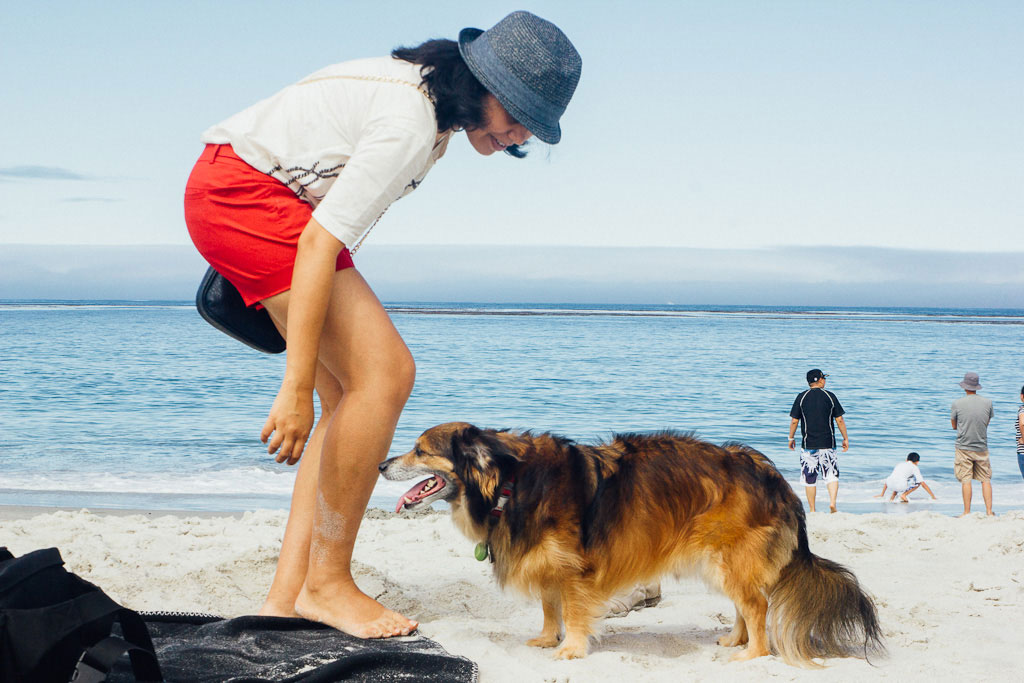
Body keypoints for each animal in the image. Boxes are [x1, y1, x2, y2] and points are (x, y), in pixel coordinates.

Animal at [380, 421, 884, 663]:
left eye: (420, 450)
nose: (382, 464)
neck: (509, 481)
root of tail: (772, 475)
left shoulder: (575, 569)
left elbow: (573, 612)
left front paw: (570, 650)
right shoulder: (547, 563)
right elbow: (548, 606)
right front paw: (545, 639)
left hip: (729, 558)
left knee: (758, 605)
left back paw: (753, 654)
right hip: (722, 561)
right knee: (747, 604)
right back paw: (734, 640)